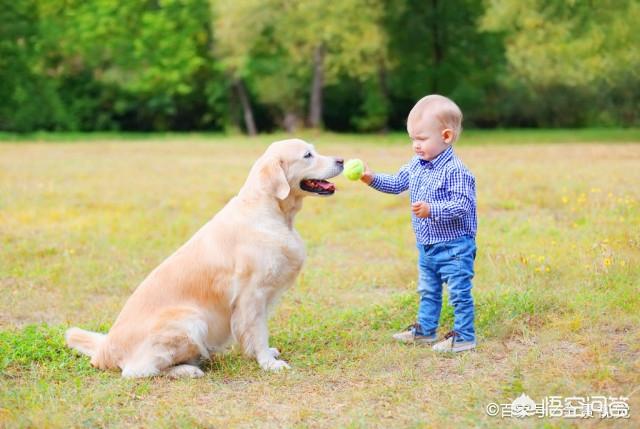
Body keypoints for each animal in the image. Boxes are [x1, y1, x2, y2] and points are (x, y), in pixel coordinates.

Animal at [65, 139, 344, 376]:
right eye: (308, 155)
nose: (341, 159)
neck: (270, 211)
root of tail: (104, 349)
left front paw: (264, 354)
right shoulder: (252, 294)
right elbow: (257, 331)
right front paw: (268, 363)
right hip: (191, 321)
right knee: (137, 371)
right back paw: (188, 370)